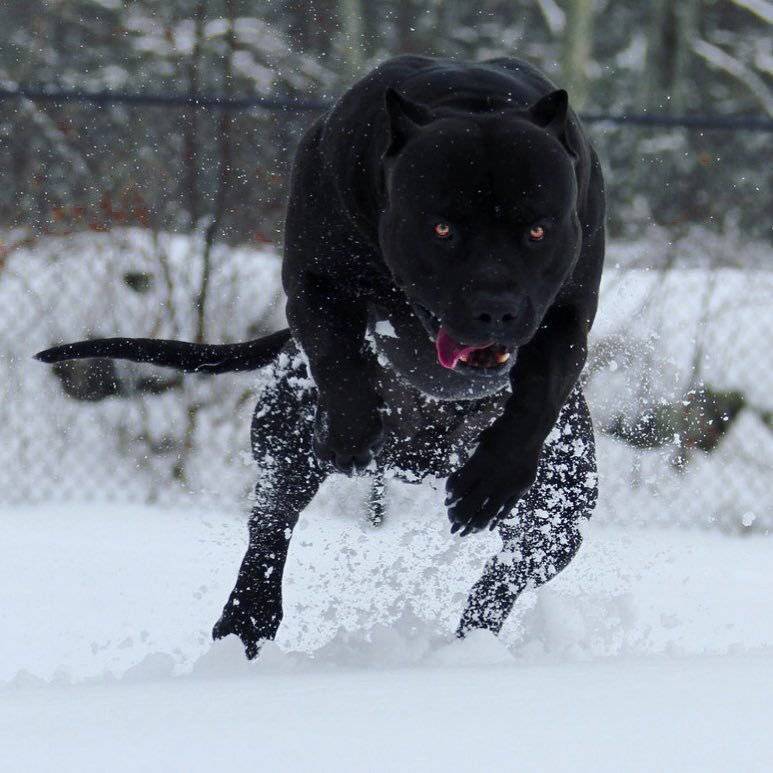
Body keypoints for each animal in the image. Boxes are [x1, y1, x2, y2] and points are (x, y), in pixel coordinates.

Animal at [36, 55, 604, 656]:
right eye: (442, 227)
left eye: (537, 230)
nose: (496, 308)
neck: (472, 102)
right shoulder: (312, 285)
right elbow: (338, 359)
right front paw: (350, 431)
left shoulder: (569, 316)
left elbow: (538, 395)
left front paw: (493, 479)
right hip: (285, 447)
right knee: (270, 530)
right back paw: (246, 622)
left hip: (560, 511)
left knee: (506, 575)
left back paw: (472, 642)